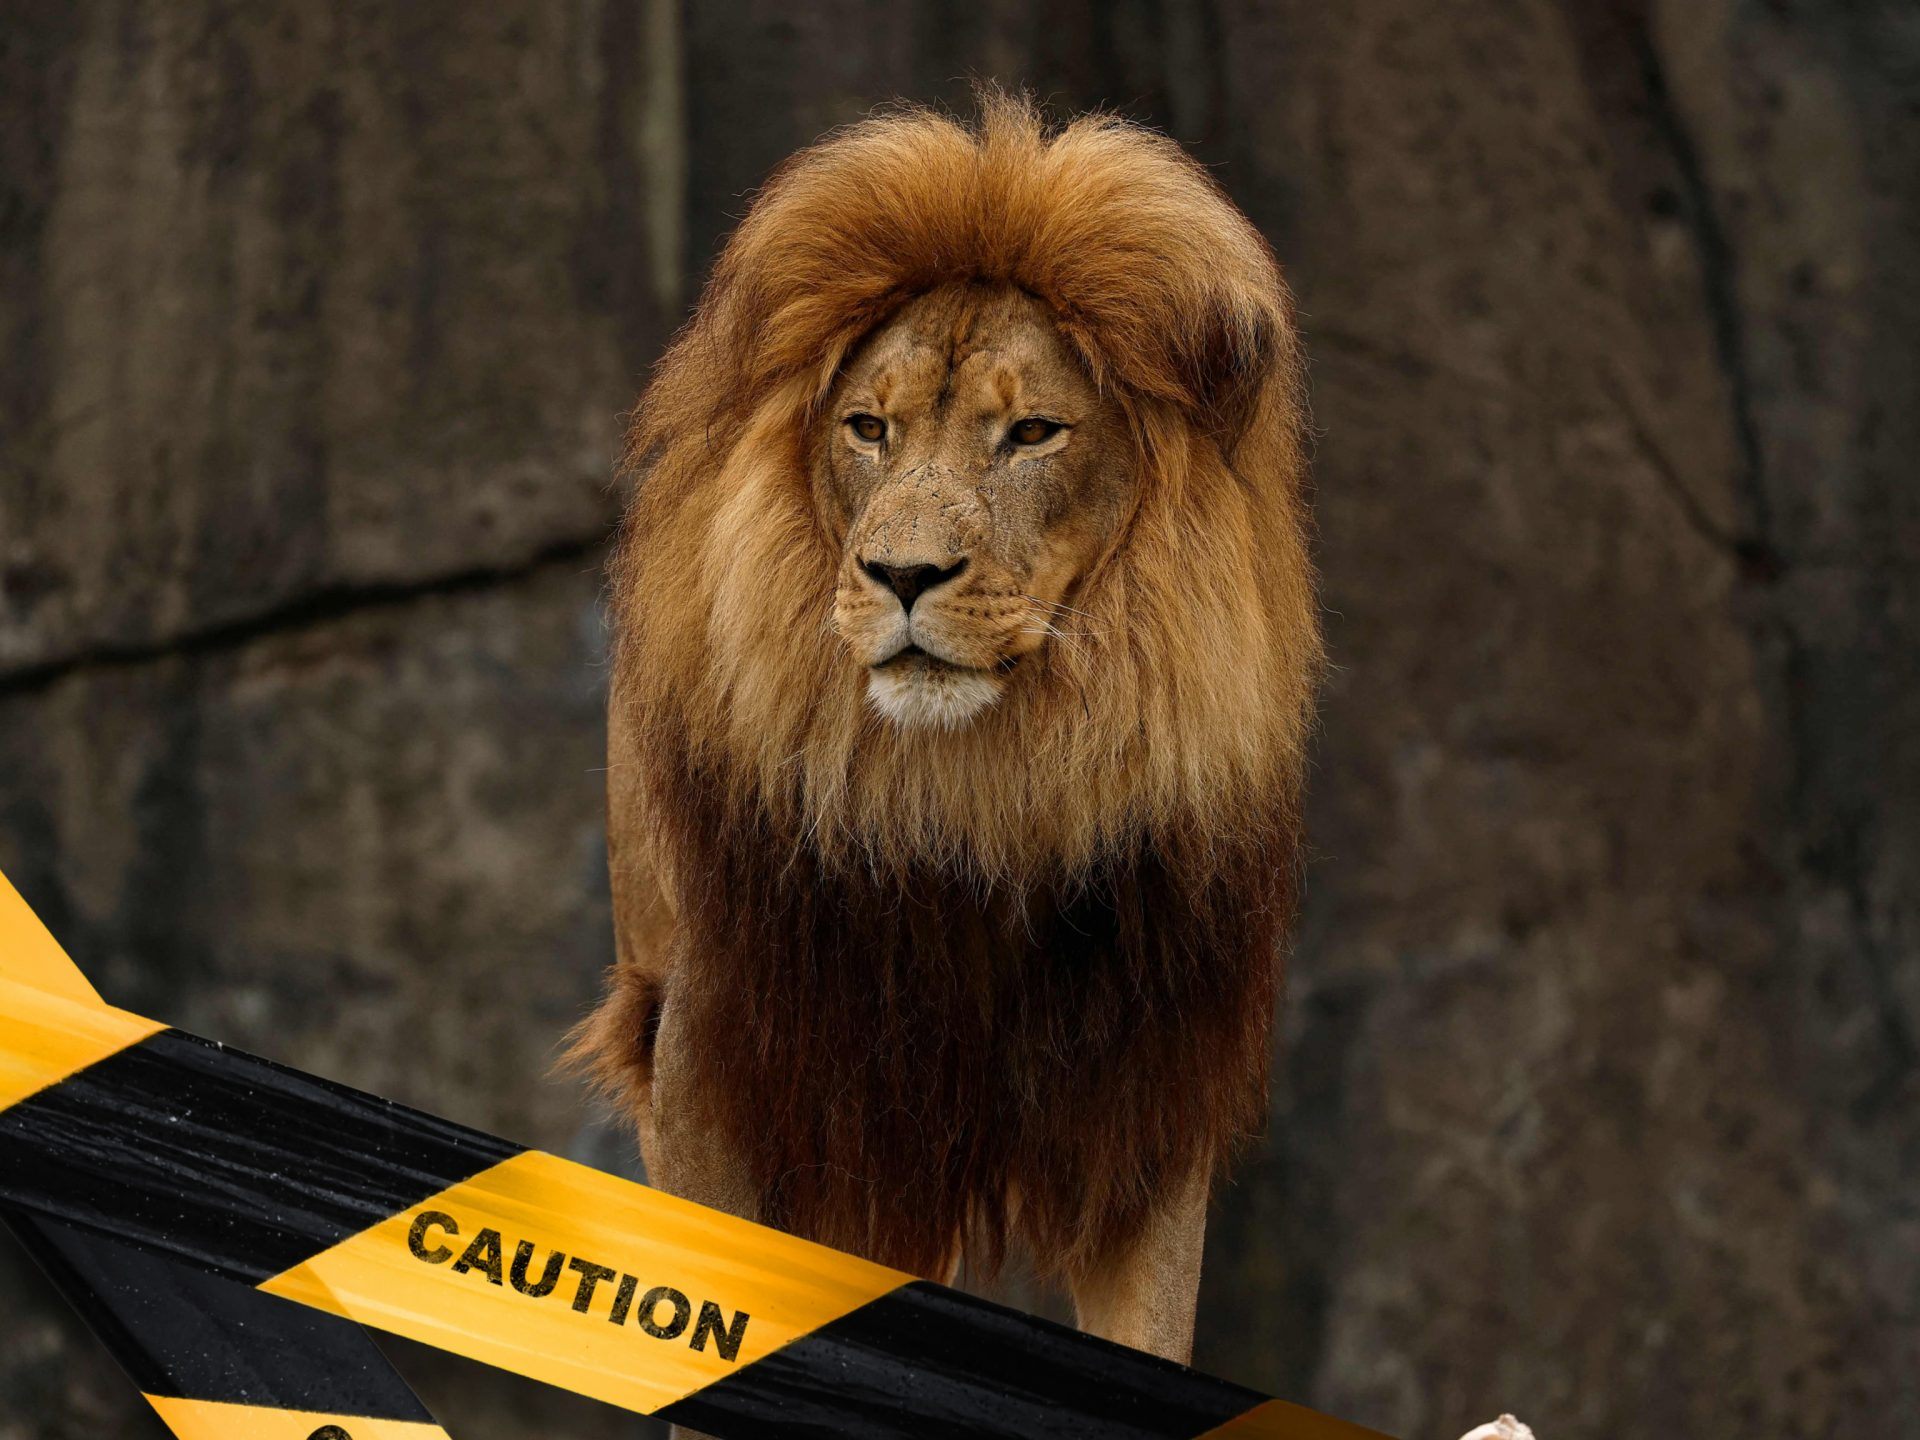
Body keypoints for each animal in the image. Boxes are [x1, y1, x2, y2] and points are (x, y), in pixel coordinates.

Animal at [576, 93, 1321, 1373]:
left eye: (1032, 433)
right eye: (868, 428)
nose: (904, 574)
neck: (976, 799)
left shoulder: (1148, 1087)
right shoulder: (720, 1054)